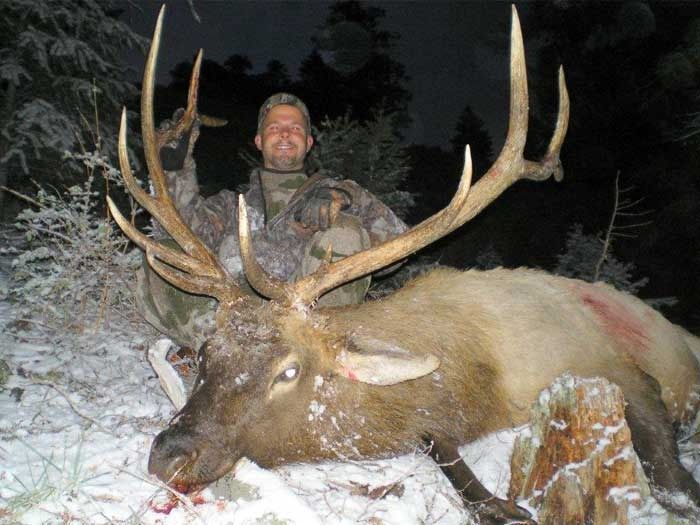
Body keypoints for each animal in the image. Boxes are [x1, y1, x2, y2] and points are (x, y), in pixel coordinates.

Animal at [107, 6, 700, 523]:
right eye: (208, 354)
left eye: (289, 371)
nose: (169, 454)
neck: (481, 376)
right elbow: (439, 447)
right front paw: (501, 503)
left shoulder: (615, 366)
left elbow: (668, 474)